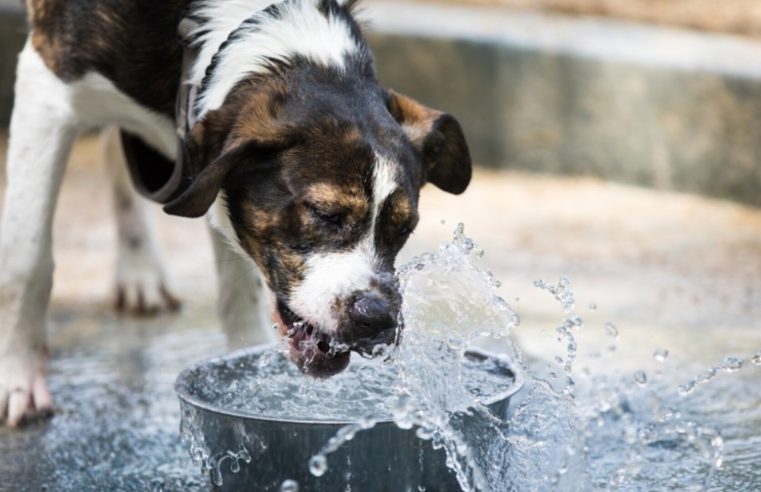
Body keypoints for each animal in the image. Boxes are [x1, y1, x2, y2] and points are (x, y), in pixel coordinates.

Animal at [0, 0, 472, 424]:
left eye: (404, 229)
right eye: (324, 214)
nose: (376, 319)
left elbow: (238, 293)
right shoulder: (46, 86)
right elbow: (26, 264)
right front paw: (16, 378)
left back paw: (139, 270)